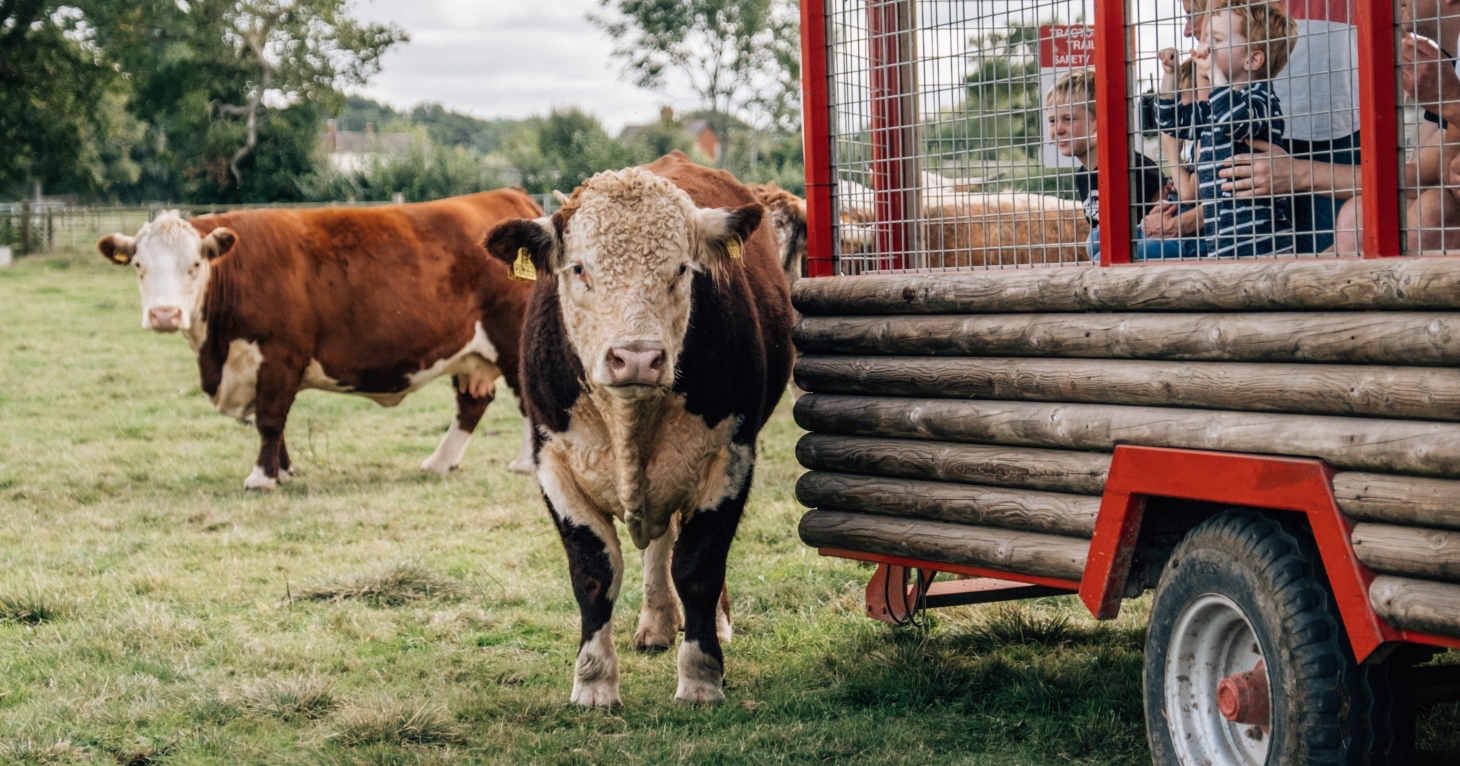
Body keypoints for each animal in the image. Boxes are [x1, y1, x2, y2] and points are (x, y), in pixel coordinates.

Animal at [96, 191, 539, 490]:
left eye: (194, 264)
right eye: (139, 265)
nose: (164, 314)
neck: (215, 353)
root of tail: (507, 195)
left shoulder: (278, 356)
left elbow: (269, 419)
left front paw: (262, 477)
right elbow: (275, 424)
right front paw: (284, 470)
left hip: (510, 338)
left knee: (524, 399)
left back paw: (526, 464)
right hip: (468, 352)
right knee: (471, 403)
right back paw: (439, 462)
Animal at [483, 151, 793, 706]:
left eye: (682, 269)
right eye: (579, 268)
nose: (637, 358)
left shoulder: (731, 457)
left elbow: (698, 568)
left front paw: (701, 676)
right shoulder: (553, 464)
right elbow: (594, 573)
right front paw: (594, 681)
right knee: (658, 544)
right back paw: (655, 624)